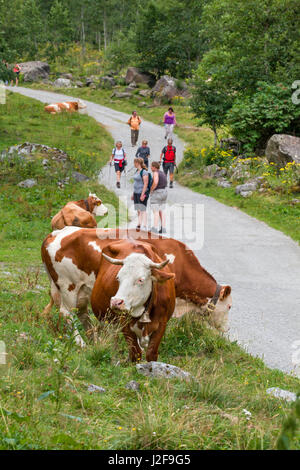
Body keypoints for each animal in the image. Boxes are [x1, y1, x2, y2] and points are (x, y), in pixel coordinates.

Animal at [40, 228, 232, 348]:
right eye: (229, 306)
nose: (227, 329)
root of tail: (56, 233)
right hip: (68, 286)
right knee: (66, 313)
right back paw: (81, 343)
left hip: (81, 290)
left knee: (81, 314)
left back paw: (93, 339)